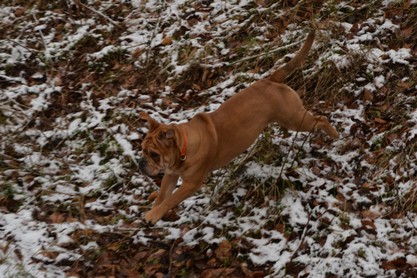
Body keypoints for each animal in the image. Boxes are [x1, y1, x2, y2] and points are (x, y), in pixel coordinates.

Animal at [140, 31, 338, 224]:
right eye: (142, 150)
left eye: (154, 154)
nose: (142, 162)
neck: (185, 144)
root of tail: (271, 80)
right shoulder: (170, 174)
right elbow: (162, 196)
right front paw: (153, 209)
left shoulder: (191, 184)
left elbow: (171, 199)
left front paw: (153, 215)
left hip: (295, 119)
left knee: (321, 119)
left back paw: (334, 135)